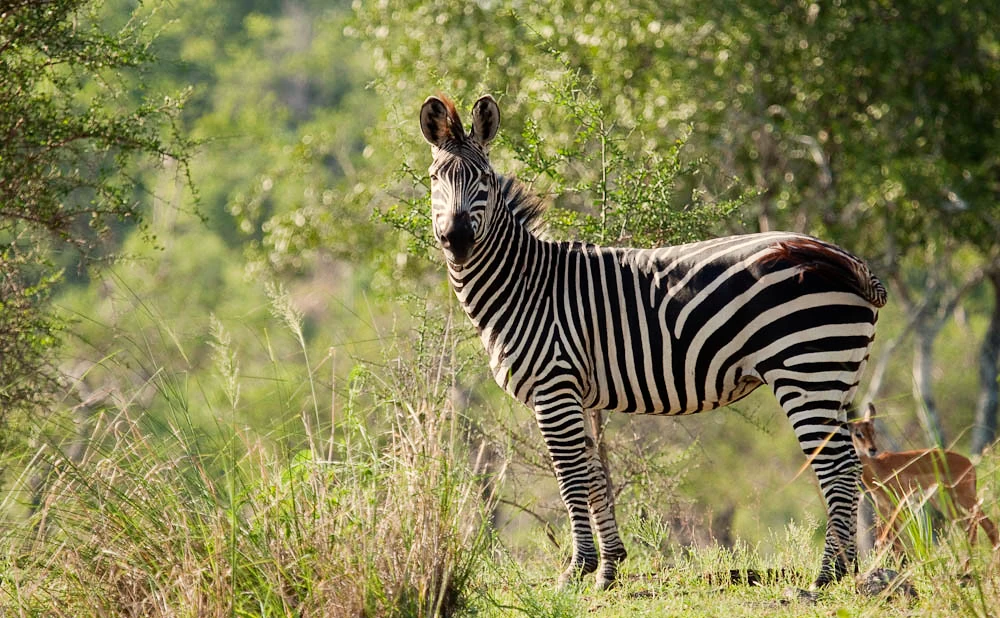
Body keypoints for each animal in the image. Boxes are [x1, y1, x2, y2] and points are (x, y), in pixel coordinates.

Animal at [418, 94, 888, 588]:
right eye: (435, 179)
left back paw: (828, 574)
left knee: (837, 467)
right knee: (850, 464)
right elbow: (596, 477)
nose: (457, 239)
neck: (524, 285)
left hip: (806, 370)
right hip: (835, 377)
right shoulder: (576, 393)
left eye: (484, 180)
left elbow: (571, 477)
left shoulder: (555, 387)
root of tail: (844, 257)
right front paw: (609, 568)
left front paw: (578, 568)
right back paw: (848, 569)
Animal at [852, 402, 1000, 552]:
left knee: (987, 525)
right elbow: (884, 541)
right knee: (969, 525)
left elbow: (891, 541)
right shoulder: (882, 507)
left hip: (965, 498)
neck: (878, 468)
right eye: (858, 433)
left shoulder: (898, 504)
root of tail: (970, 463)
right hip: (944, 502)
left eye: (873, 432)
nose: (872, 449)